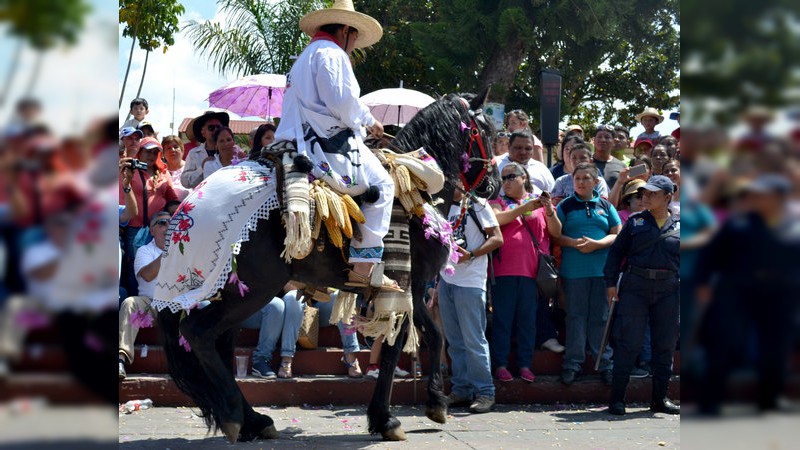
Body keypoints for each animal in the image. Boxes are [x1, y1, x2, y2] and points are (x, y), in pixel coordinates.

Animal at [156, 89, 500, 442]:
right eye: (487, 131)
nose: (495, 184)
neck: (416, 182)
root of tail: (187, 212)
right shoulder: (408, 284)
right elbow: (400, 344)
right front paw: (387, 418)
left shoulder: (412, 290)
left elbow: (433, 337)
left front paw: (433, 402)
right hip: (252, 290)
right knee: (198, 333)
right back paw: (235, 417)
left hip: (232, 292)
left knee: (216, 342)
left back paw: (254, 420)